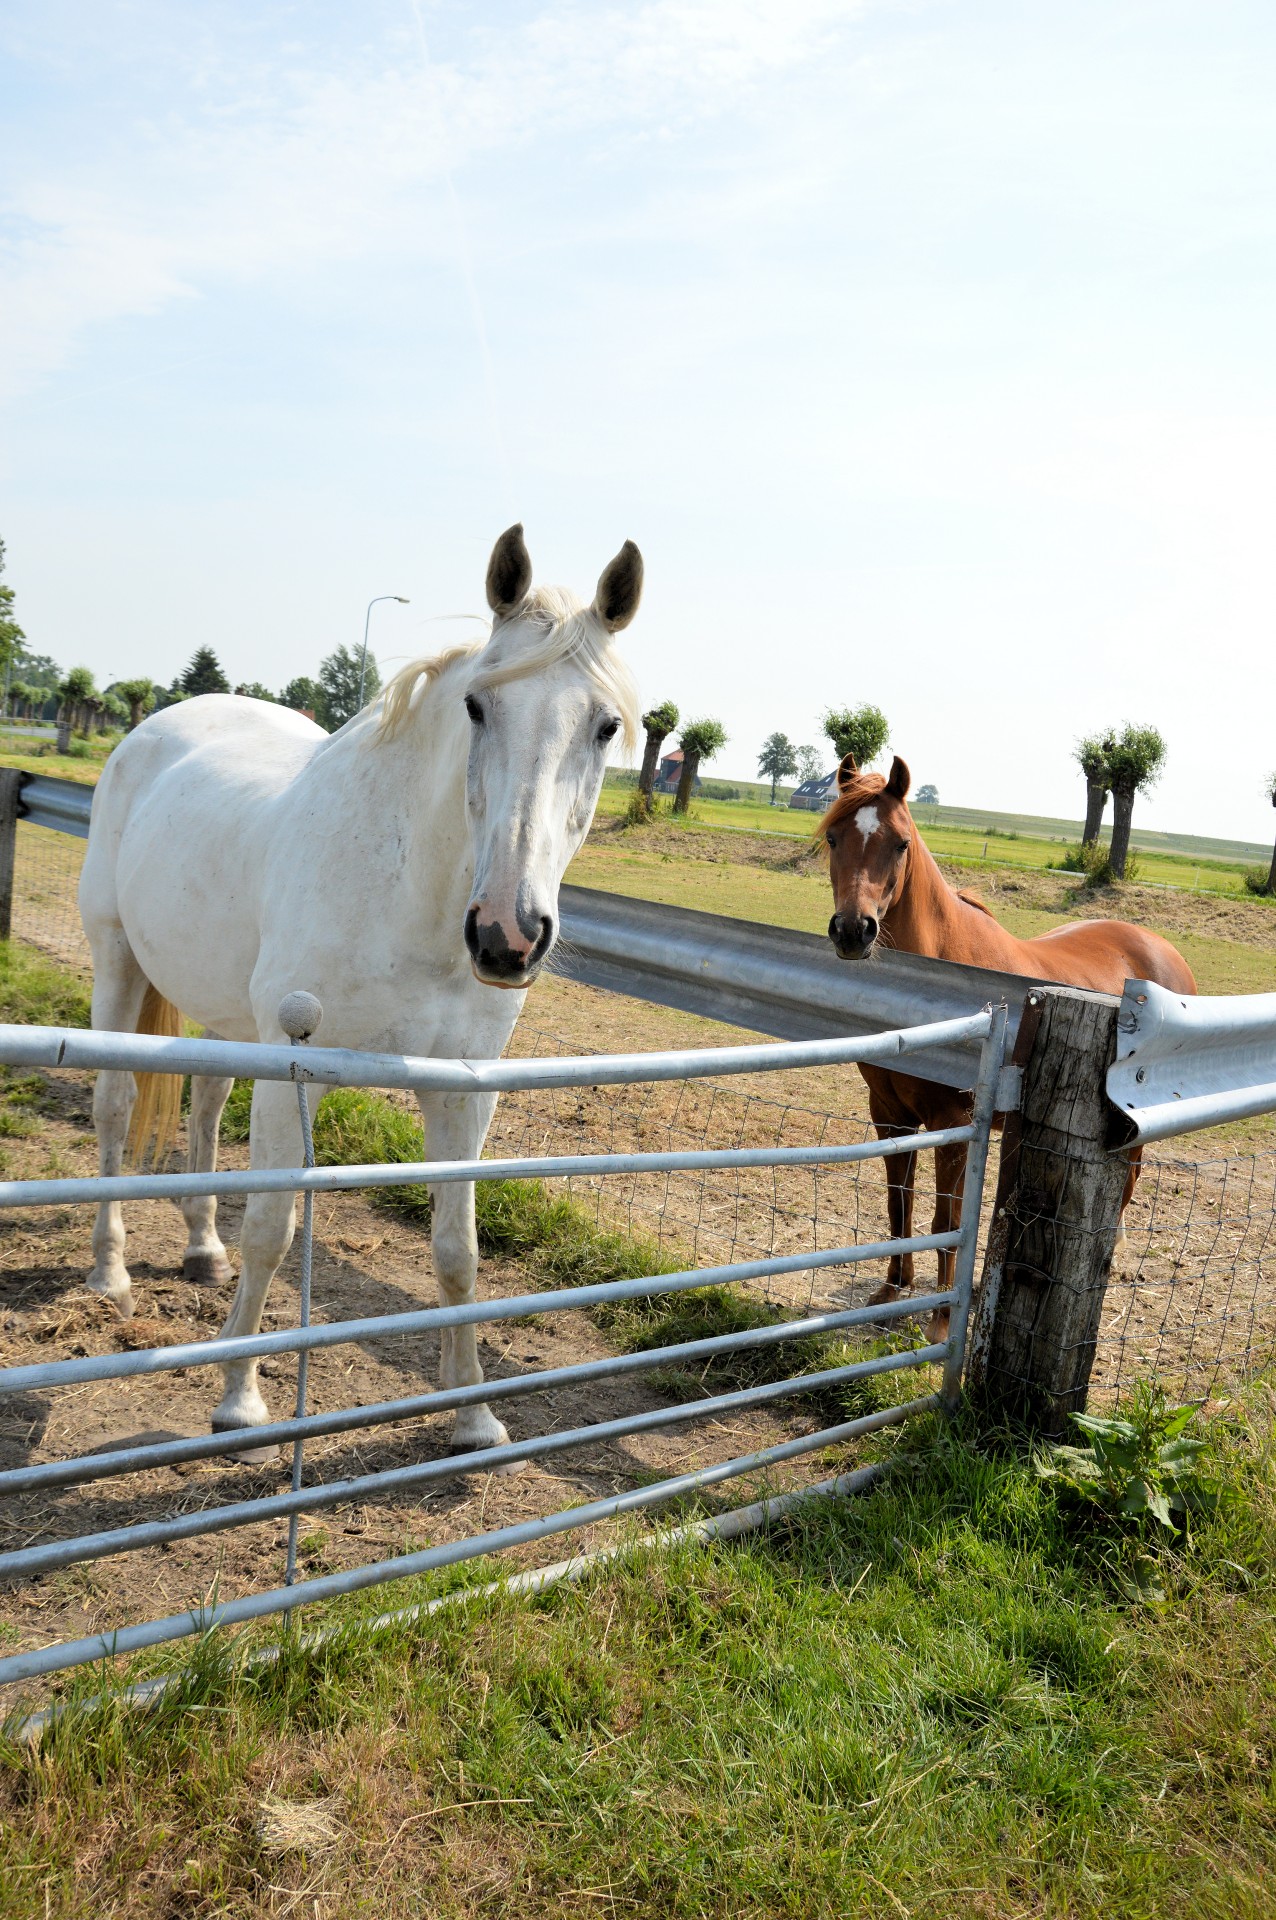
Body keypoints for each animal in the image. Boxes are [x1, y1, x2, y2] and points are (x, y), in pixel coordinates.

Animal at [75, 526, 640, 1451]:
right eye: (477, 707)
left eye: (606, 725)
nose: (507, 935)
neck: (410, 896)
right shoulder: (294, 1071)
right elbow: (274, 1229)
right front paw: (239, 1401)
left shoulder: (464, 1090)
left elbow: (458, 1250)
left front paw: (473, 1413)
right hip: (117, 959)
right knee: (117, 1107)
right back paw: (110, 1272)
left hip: (229, 1018)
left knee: (204, 1106)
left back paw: (201, 1248)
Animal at [817, 748, 1197, 1336]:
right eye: (834, 838)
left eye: (900, 843)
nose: (854, 931)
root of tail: (1162, 951)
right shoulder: (890, 1115)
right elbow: (899, 1204)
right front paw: (892, 1289)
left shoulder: (953, 1122)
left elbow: (946, 1219)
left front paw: (941, 1322)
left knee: (1128, 1182)